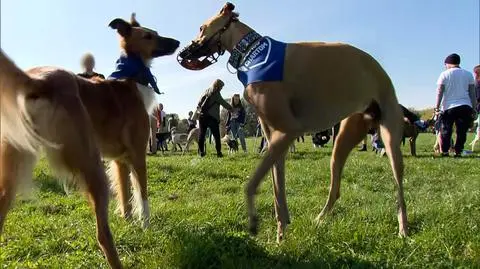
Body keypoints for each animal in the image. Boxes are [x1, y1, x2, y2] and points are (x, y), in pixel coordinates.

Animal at [0, 13, 179, 266]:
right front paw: (146, 226)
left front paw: (129, 224)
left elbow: (125, 197)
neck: (131, 80)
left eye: (156, 32)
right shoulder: (137, 154)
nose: (177, 43)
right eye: (148, 36)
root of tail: (37, 81)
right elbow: (142, 195)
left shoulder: (119, 160)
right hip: (92, 165)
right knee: (102, 234)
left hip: (13, 169)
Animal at [178, 2, 406, 241]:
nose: (183, 53)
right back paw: (320, 218)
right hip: (343, 141)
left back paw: (403, 229)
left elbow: (250, 185)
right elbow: (277, 188)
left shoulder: (288, 131)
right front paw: (281, 232)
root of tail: (379, 68)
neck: (252, 52)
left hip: (390, 139)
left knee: (399, 188)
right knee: (336, 188)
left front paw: (255, 221)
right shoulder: (274, 138)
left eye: (201, 28)